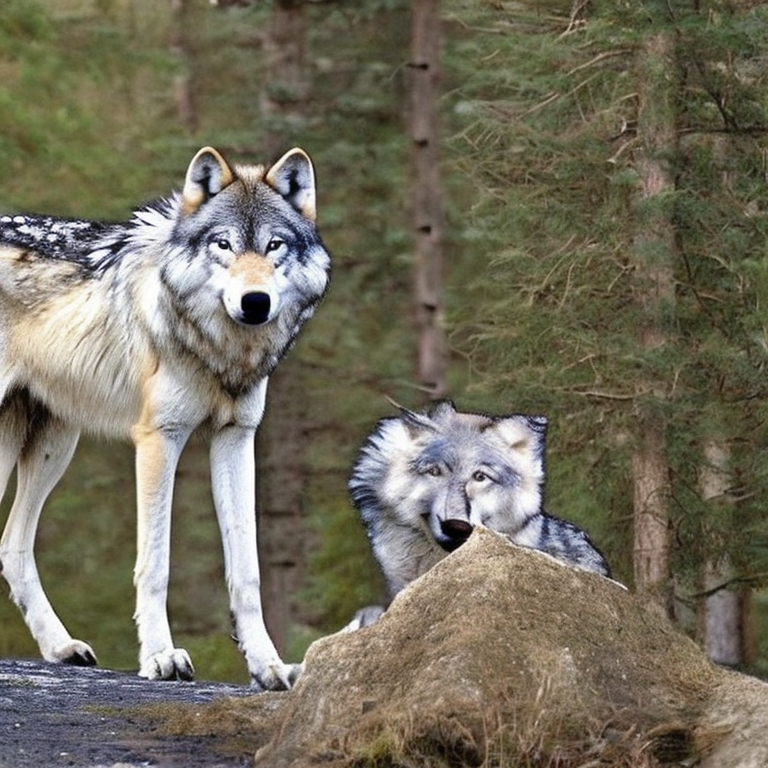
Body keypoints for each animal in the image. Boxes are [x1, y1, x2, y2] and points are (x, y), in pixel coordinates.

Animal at [0, 146, 330, 690]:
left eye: (274, 245)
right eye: (223, 244)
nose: (255, 302)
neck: (219, 350)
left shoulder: (236, 439)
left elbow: (247, 570)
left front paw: (267, 665)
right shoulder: (161, 438)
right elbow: (155, 565)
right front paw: (160, 657)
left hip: (54, 447)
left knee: (10, 546)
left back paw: (61, 647)